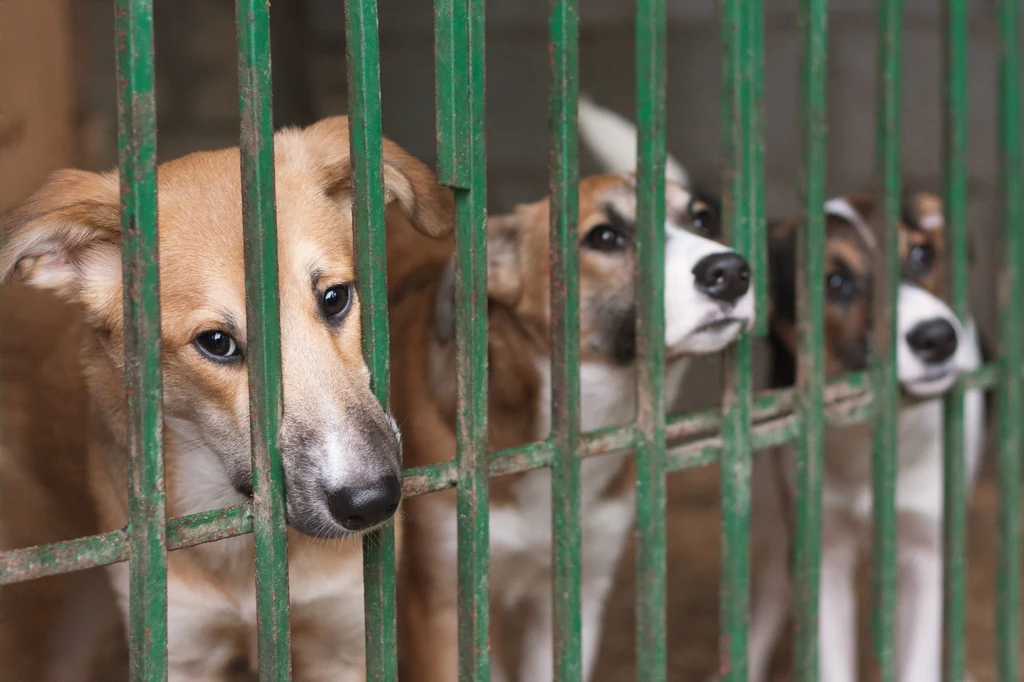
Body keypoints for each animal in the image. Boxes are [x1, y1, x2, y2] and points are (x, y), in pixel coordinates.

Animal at [749, 192, 987, 679]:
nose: (939, 338)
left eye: (922, 255)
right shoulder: (823, 551)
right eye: (835, 282)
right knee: (770, 595)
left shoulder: (924, 550)